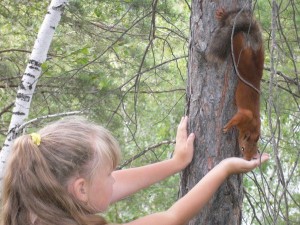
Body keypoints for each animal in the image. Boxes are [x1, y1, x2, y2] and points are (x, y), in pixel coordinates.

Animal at [207, 7, 264, 160]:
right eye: (243, 149)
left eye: (253, 155)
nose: (245, 160)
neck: (252, 128)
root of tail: (256, 75)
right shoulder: (246, 115)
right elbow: (238, 118)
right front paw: (227, 126)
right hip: (241, 57)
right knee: (236, 38)